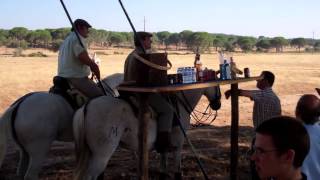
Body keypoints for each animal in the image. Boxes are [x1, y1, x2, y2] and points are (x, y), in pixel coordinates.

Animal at [73, 76, 222, 180]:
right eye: (217, 85)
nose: (217, 104)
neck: (179, 104)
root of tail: (87, 106)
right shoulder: (178, 145)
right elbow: (177, 172)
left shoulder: (164, 147)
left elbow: (163, 170)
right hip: (101, 154)